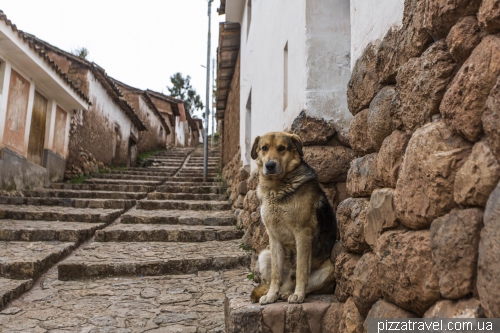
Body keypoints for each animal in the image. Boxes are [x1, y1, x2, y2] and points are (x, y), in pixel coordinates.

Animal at [250, 130, 336, 304]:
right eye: (264, 148)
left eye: (282, 148)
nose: (270, 165)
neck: (275, 187)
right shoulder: (273, 237)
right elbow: (275, 275)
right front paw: (271, 296)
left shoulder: (302, 234)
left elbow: (301, 270)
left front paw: (298, 294)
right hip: (264, 255)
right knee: (280, 281)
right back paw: (280, 293)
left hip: (329, 270)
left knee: (303, 282)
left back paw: (291, 293)